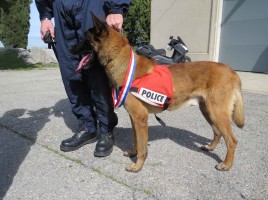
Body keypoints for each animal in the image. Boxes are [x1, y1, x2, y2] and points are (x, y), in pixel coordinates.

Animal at [71, 13, 245, 173]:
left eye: (85, 39)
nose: (69, 48)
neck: (122, 62)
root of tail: (232, 71)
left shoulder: (140, 118)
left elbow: (142, 146)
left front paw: (138, 165)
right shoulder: (134, 118)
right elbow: (135, 139)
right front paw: (133, 153)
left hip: (217, 113)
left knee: (232, 140)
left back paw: (226, 164)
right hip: (208, 111)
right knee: (217, 132)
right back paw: (210, 147)